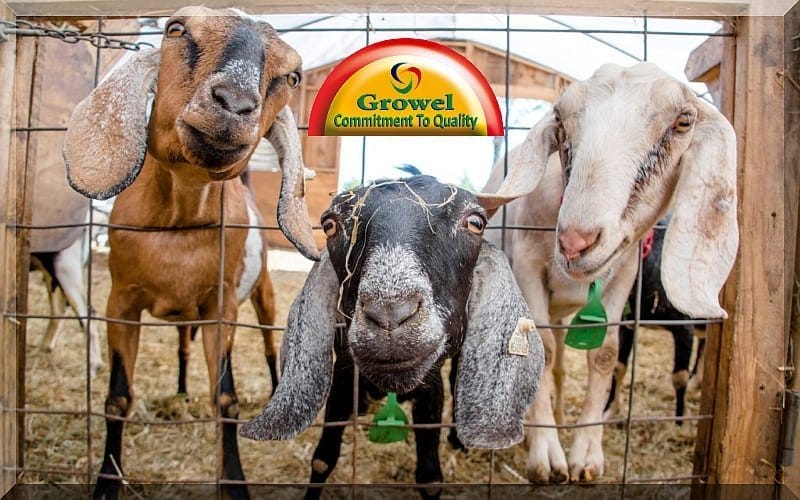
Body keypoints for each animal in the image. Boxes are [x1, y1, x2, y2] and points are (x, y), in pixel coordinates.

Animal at [63, 7, 318, 498]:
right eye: (175, 29)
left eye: (293, 75)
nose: (233, 104)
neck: (179, 218)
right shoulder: (120, 302)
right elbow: (118, 397)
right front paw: (106, 481)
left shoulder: (222, 306)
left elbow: (225, 398)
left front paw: (234, 482)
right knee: (183, 346)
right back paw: (180, 390)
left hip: (262, 293)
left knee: (268, 343)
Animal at [240, 174, 544, 499]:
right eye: (330, 225)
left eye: (475, 222)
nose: (390, 315)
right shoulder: (344, 374)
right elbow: (323, 459)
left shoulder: (430, 386)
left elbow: (430, 477)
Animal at [480, 62, 738, 483]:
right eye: (559, 119)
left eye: (684, 121)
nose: (575, 241)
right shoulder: (527, 266)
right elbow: (540, 347)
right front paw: (546, 453)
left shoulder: (622, 274)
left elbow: (605, 354)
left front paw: (586, 454)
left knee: (561, 364)